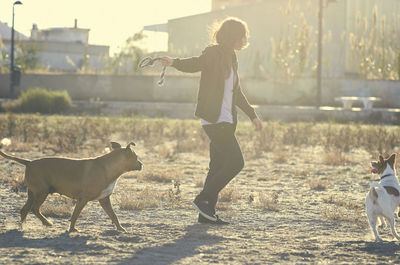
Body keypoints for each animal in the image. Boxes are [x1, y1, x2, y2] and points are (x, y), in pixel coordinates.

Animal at [0, 140, 143, 231]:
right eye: (136, 157)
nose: (142, 164)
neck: (109, 168)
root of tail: (29, 162)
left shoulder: (104, 199)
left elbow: (113, 215)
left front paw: (120, 228)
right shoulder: (83, 199)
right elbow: (75, 215)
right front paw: (72, 229)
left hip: (32, 193)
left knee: (24, 210)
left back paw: (24, 227)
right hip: (42, 192)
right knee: (34, 209)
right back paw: (46, 222)